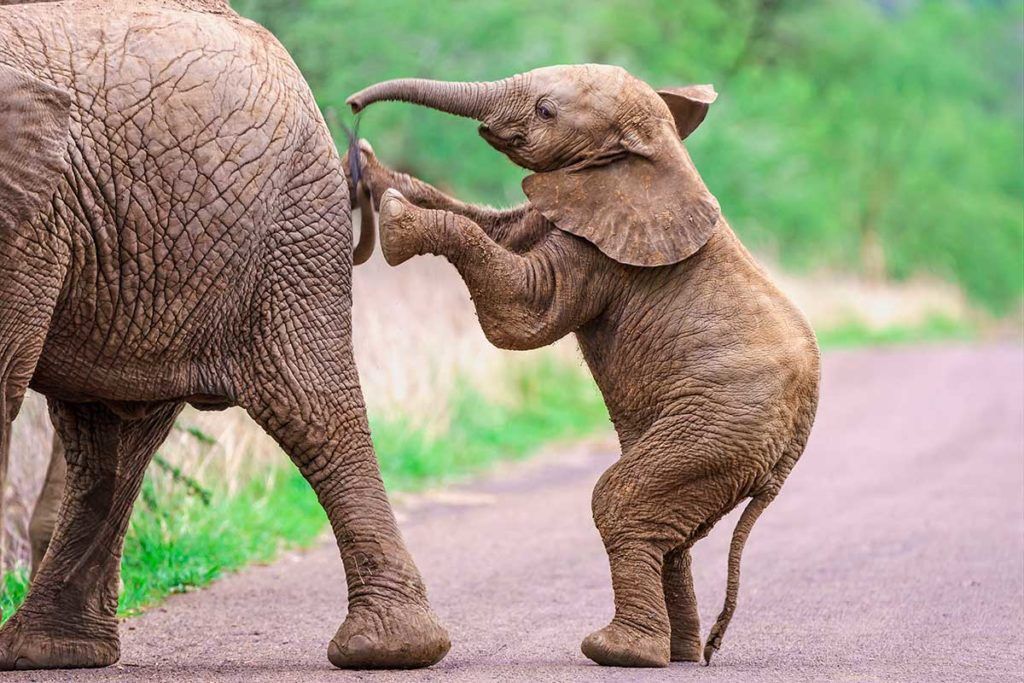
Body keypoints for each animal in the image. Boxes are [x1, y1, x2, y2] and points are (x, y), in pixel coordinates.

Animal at [0, 0, 448, 670]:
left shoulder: (26, 214)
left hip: (288, 232)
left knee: (314, 410)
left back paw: (388, 650)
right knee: (109, 432)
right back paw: (49, 653)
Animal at [346, 64, 821, 667]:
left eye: (547, 111)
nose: (353, 105)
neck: (651, 150)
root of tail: (799, 433)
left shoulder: (603, 252)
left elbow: (522, 314)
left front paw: (395, 217)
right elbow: (500, 226)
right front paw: (371, 166)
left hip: (726, 425)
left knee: (622, 501)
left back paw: (619, 651)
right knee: (671, 533)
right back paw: (680, 653)